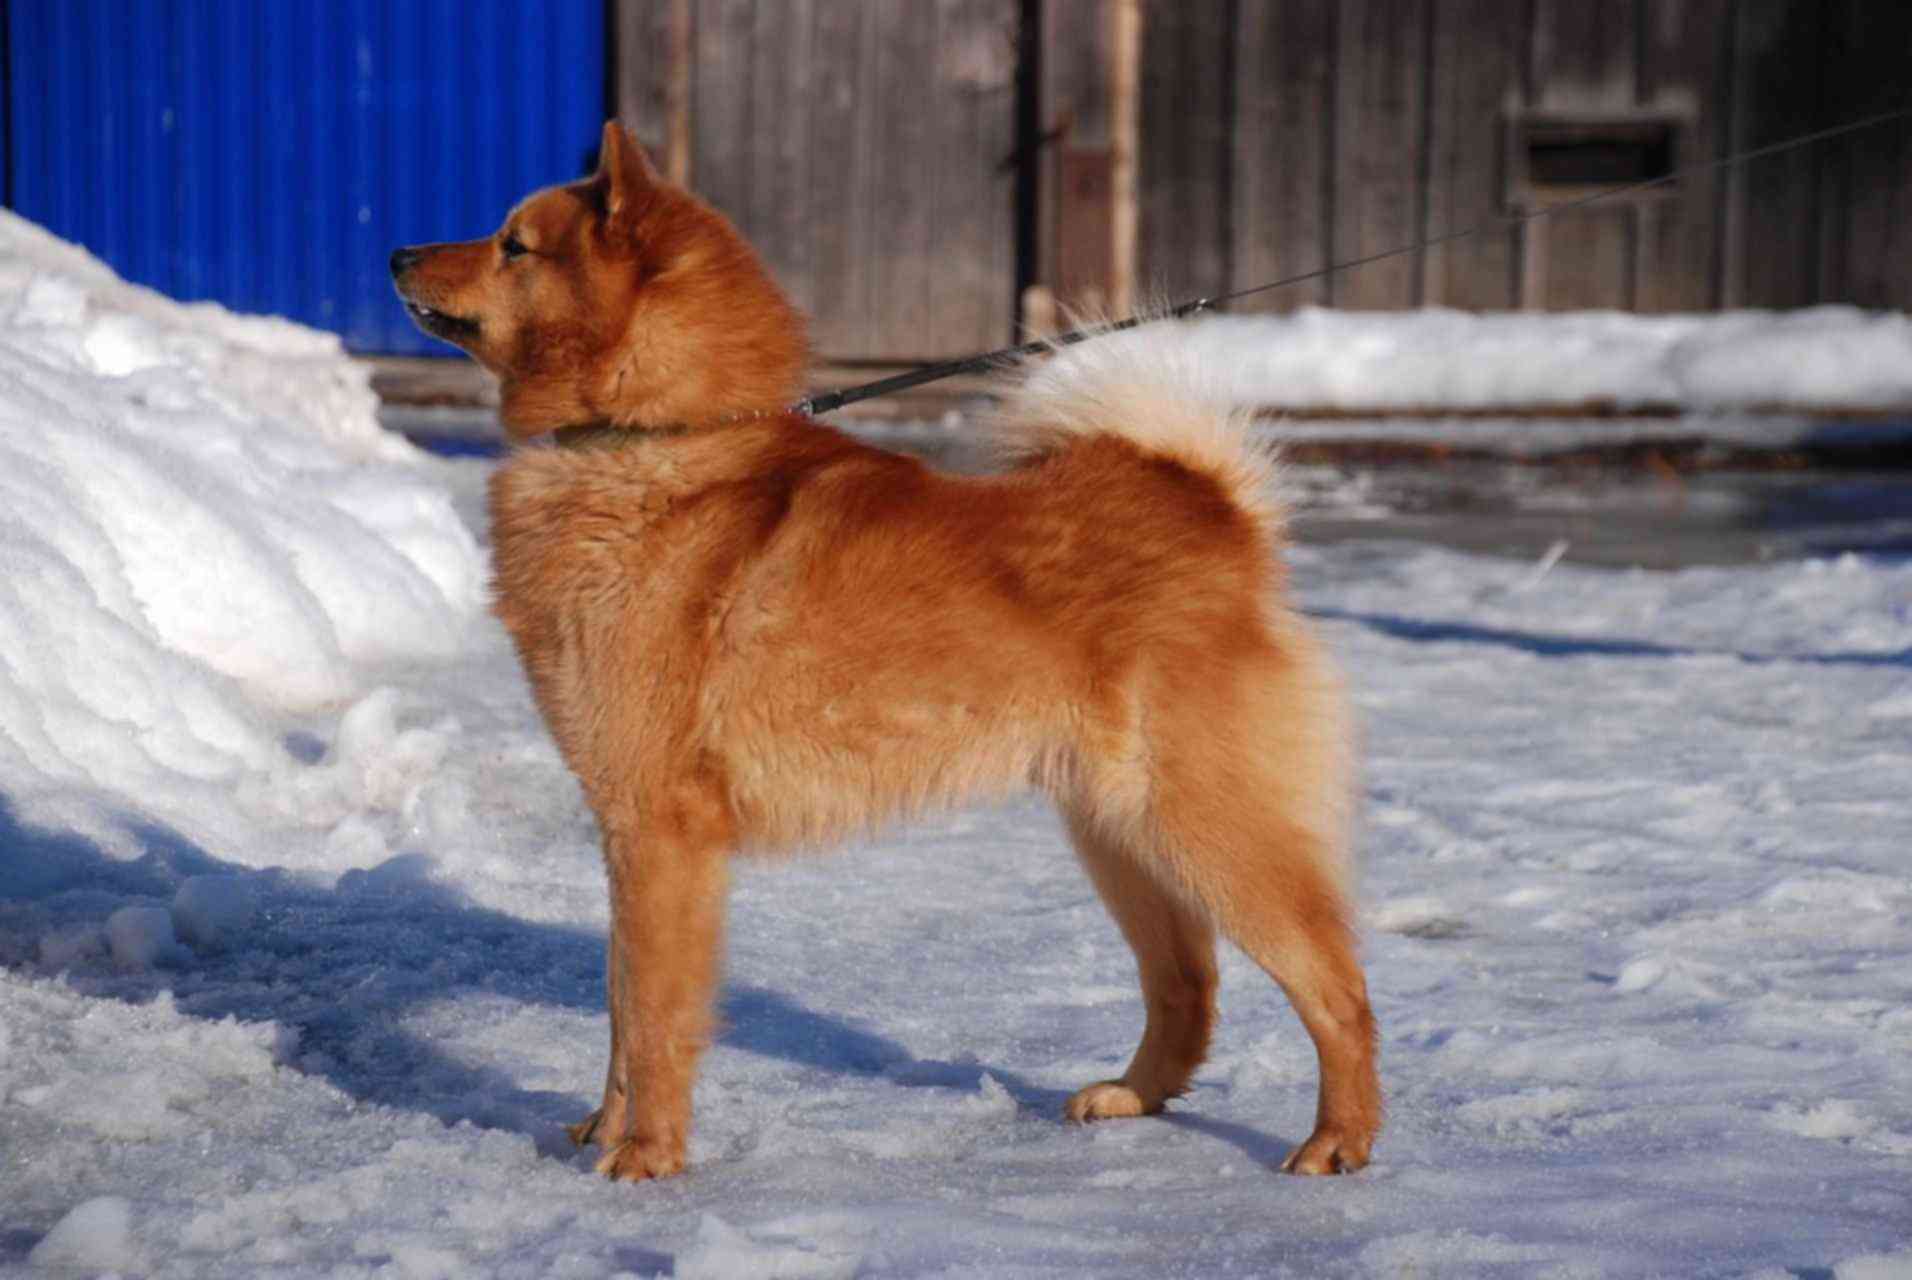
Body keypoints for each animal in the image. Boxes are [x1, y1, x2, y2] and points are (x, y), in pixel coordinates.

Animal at [391, 119, 1376, 1178]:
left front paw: (645, 1154)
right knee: (1187, 982)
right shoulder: (627, 832)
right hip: (1118, 834)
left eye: (513, 245)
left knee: (1336, 986)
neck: (654, 440)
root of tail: (1214, 513)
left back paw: (1339, 1140)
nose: (397, 253)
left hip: (1205, 826)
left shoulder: (660, 832)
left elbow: (650, 1017)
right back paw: (1134, 1096)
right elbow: (620, 1013)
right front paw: (603, 1130)